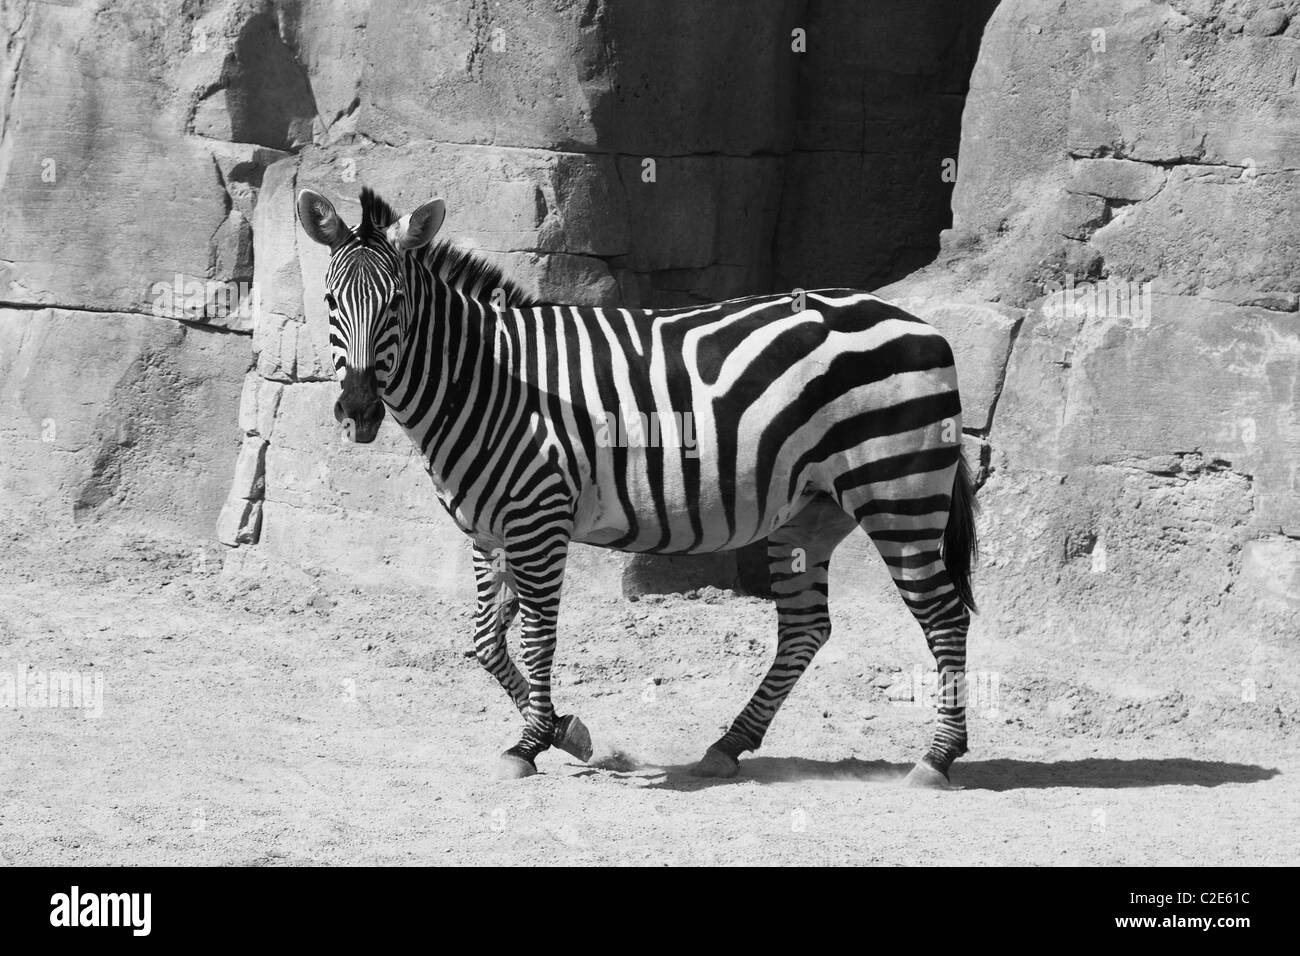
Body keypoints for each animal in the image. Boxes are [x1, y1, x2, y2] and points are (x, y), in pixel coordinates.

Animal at [296, 186, 979, 789]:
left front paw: (531, 743)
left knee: (944, 617)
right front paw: (569, 734)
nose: (358, 411)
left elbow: (537, 637)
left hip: (896, 492)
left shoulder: (539, 518)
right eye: (330, 300)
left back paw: (937, 758)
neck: (489, 381)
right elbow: (486, 643)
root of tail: (919, 322)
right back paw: (728, 746)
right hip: (809, 512)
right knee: (806, 629)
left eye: (396, 304)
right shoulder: (489, 530)